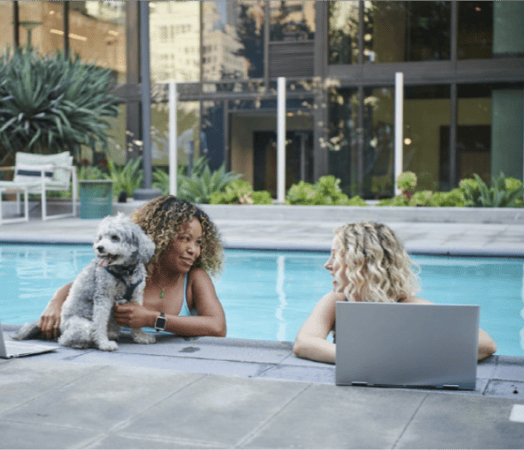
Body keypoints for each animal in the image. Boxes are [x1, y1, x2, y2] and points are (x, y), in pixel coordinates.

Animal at [18, 214, 158, 352]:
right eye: (100, 238)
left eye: (115, 237)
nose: (99, 247)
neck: (125, 271)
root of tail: (61, 327)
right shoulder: (103, 297)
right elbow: (100, 323)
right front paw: (104, 343)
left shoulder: (136, 295)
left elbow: (136, 321)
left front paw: (140, 336)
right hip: (83, 325)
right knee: (64, 339)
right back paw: (82, 343)